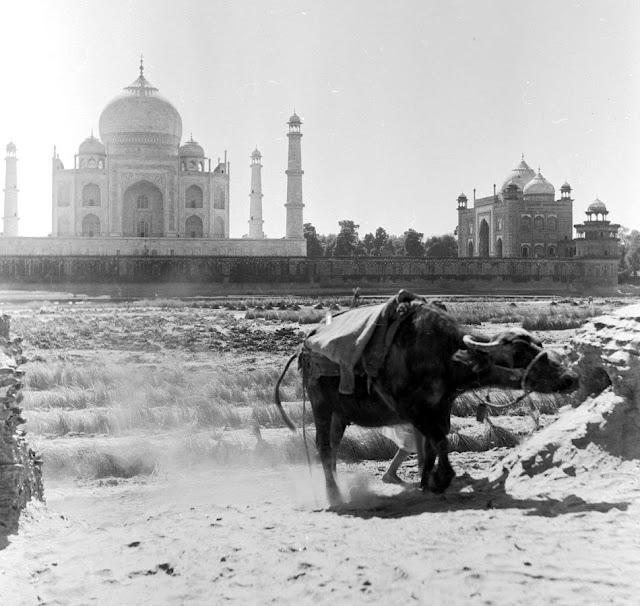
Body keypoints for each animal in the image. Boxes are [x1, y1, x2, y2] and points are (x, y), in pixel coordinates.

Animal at [276, 300, 580, 508]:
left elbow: (435, 444)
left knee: (334, 448)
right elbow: (439, 441)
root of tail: (305, 347)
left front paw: (427, 481)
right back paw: (334, 495)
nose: (570, 378)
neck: (444, 356)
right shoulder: (413, 410)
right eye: (519, 354)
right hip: (321, 405)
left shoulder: (441, 407)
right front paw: (441, 479)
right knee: (324, 448)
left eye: (540, 346)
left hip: (340, 412)